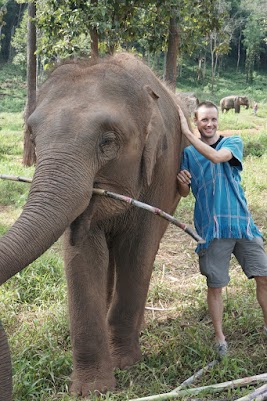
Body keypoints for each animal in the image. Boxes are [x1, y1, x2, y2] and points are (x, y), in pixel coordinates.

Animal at [0, 52, 188, 396]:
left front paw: (125, 364)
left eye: (108, 141)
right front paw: (93, 389)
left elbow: (138, 250)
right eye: (34, 137)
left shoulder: (161, 170)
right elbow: (82, 254)